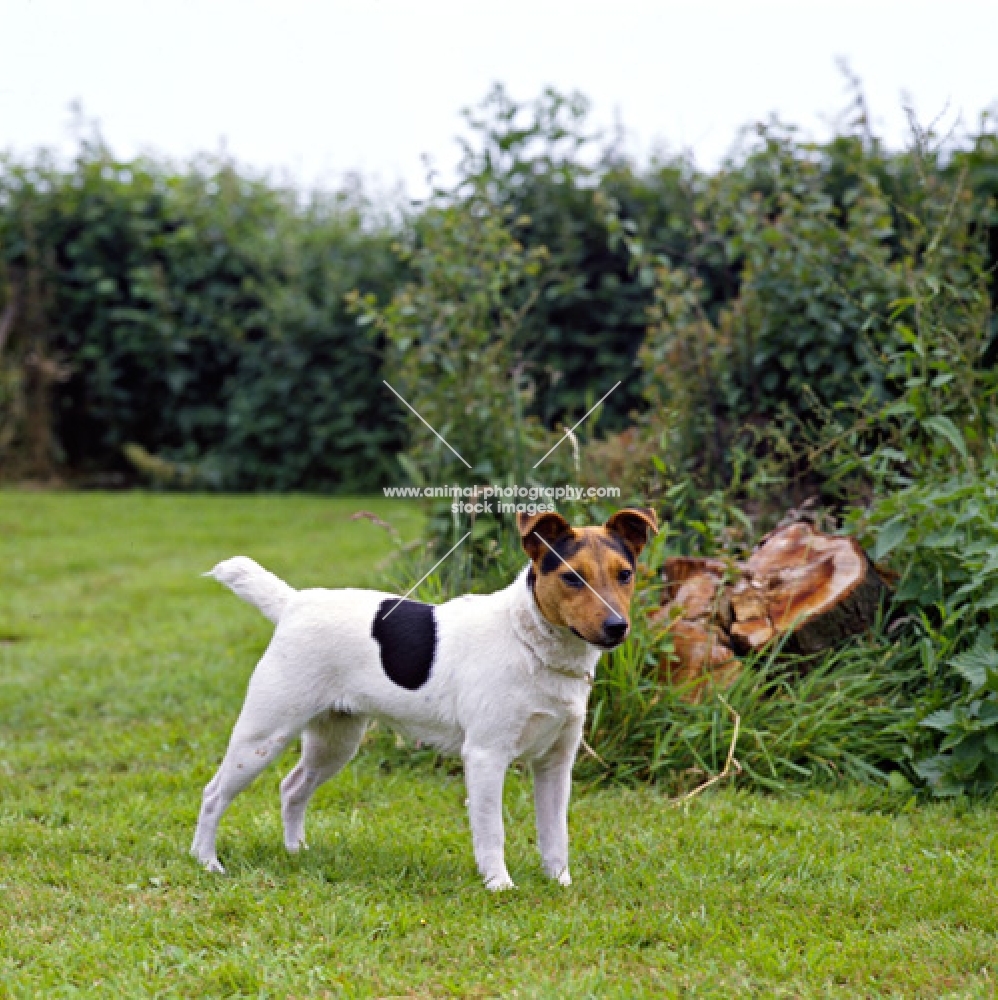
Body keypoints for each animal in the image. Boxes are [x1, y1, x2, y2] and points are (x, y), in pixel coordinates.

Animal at [191, 508, 660, 892]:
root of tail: (294, 603)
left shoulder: (555, 763)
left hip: (335, 742)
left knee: (292, 788)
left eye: (625, 574)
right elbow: (492, 830)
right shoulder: (486, 755)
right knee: (214, 794)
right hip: (261, 737)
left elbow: (555, 833)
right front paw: (499, 885)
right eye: (572, 578)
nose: (617, 626)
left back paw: (295, 852)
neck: (530, 642)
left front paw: (559, 882)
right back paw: (207, 862)